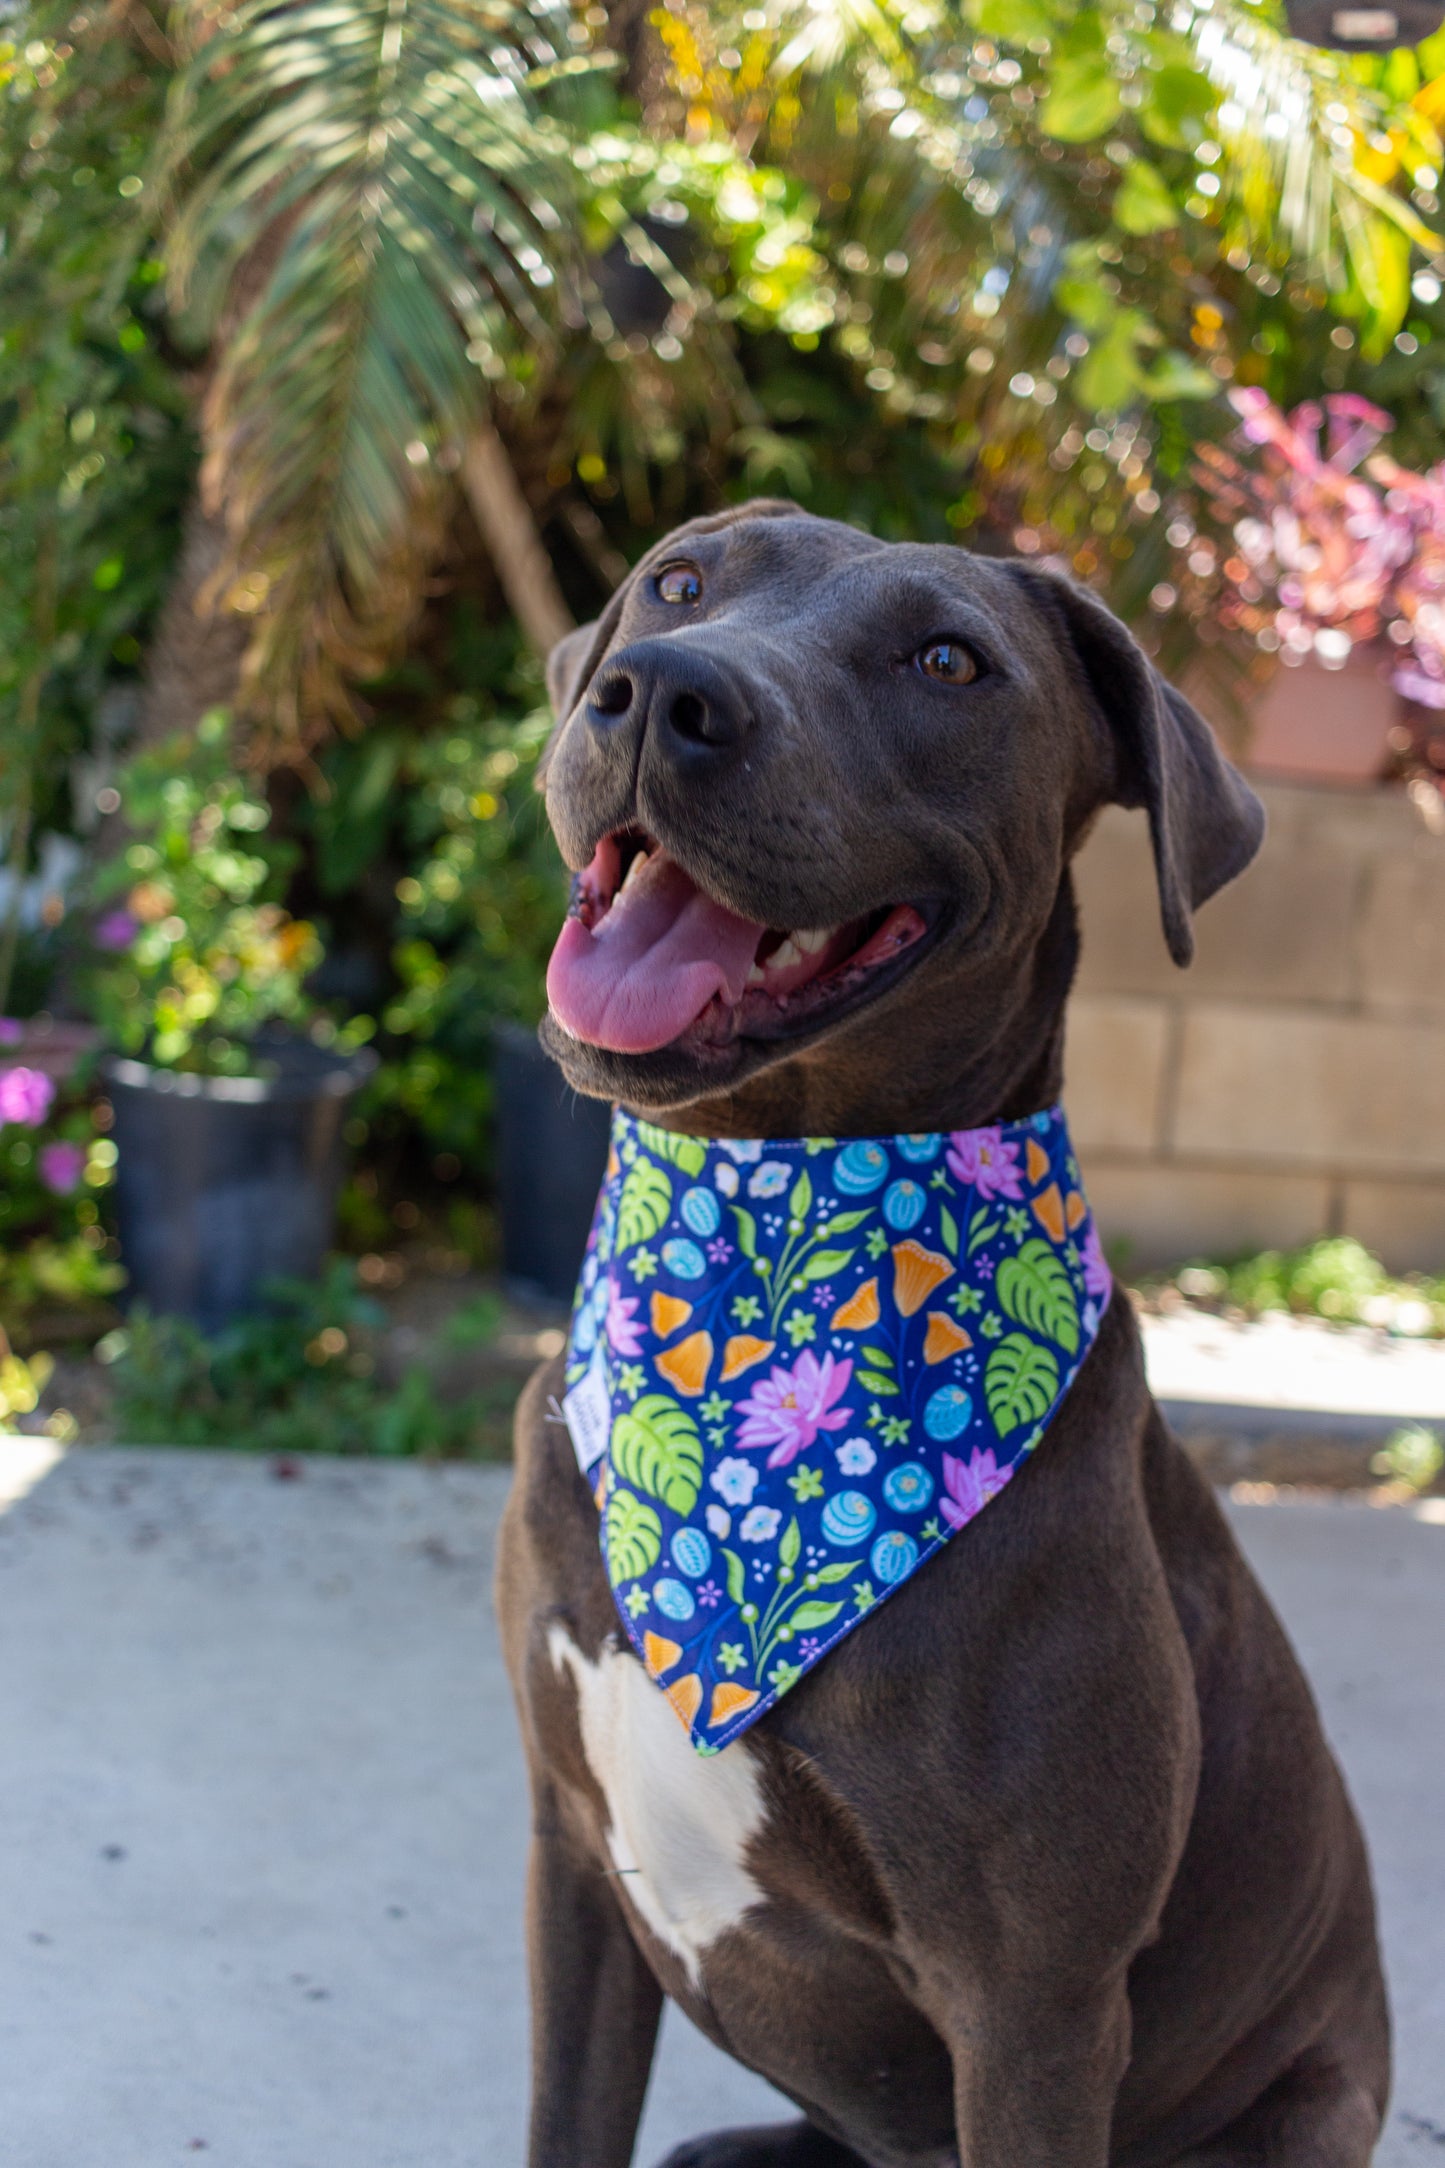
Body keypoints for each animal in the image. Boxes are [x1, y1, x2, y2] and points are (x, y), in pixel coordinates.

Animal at [493, 502, 1386, 2168]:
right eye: (679, 582)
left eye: (947, 662)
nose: (656, 692)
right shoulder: (570, 1859)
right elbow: (566, 2120)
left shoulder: (1033, 2008)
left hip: (1302, 2104)